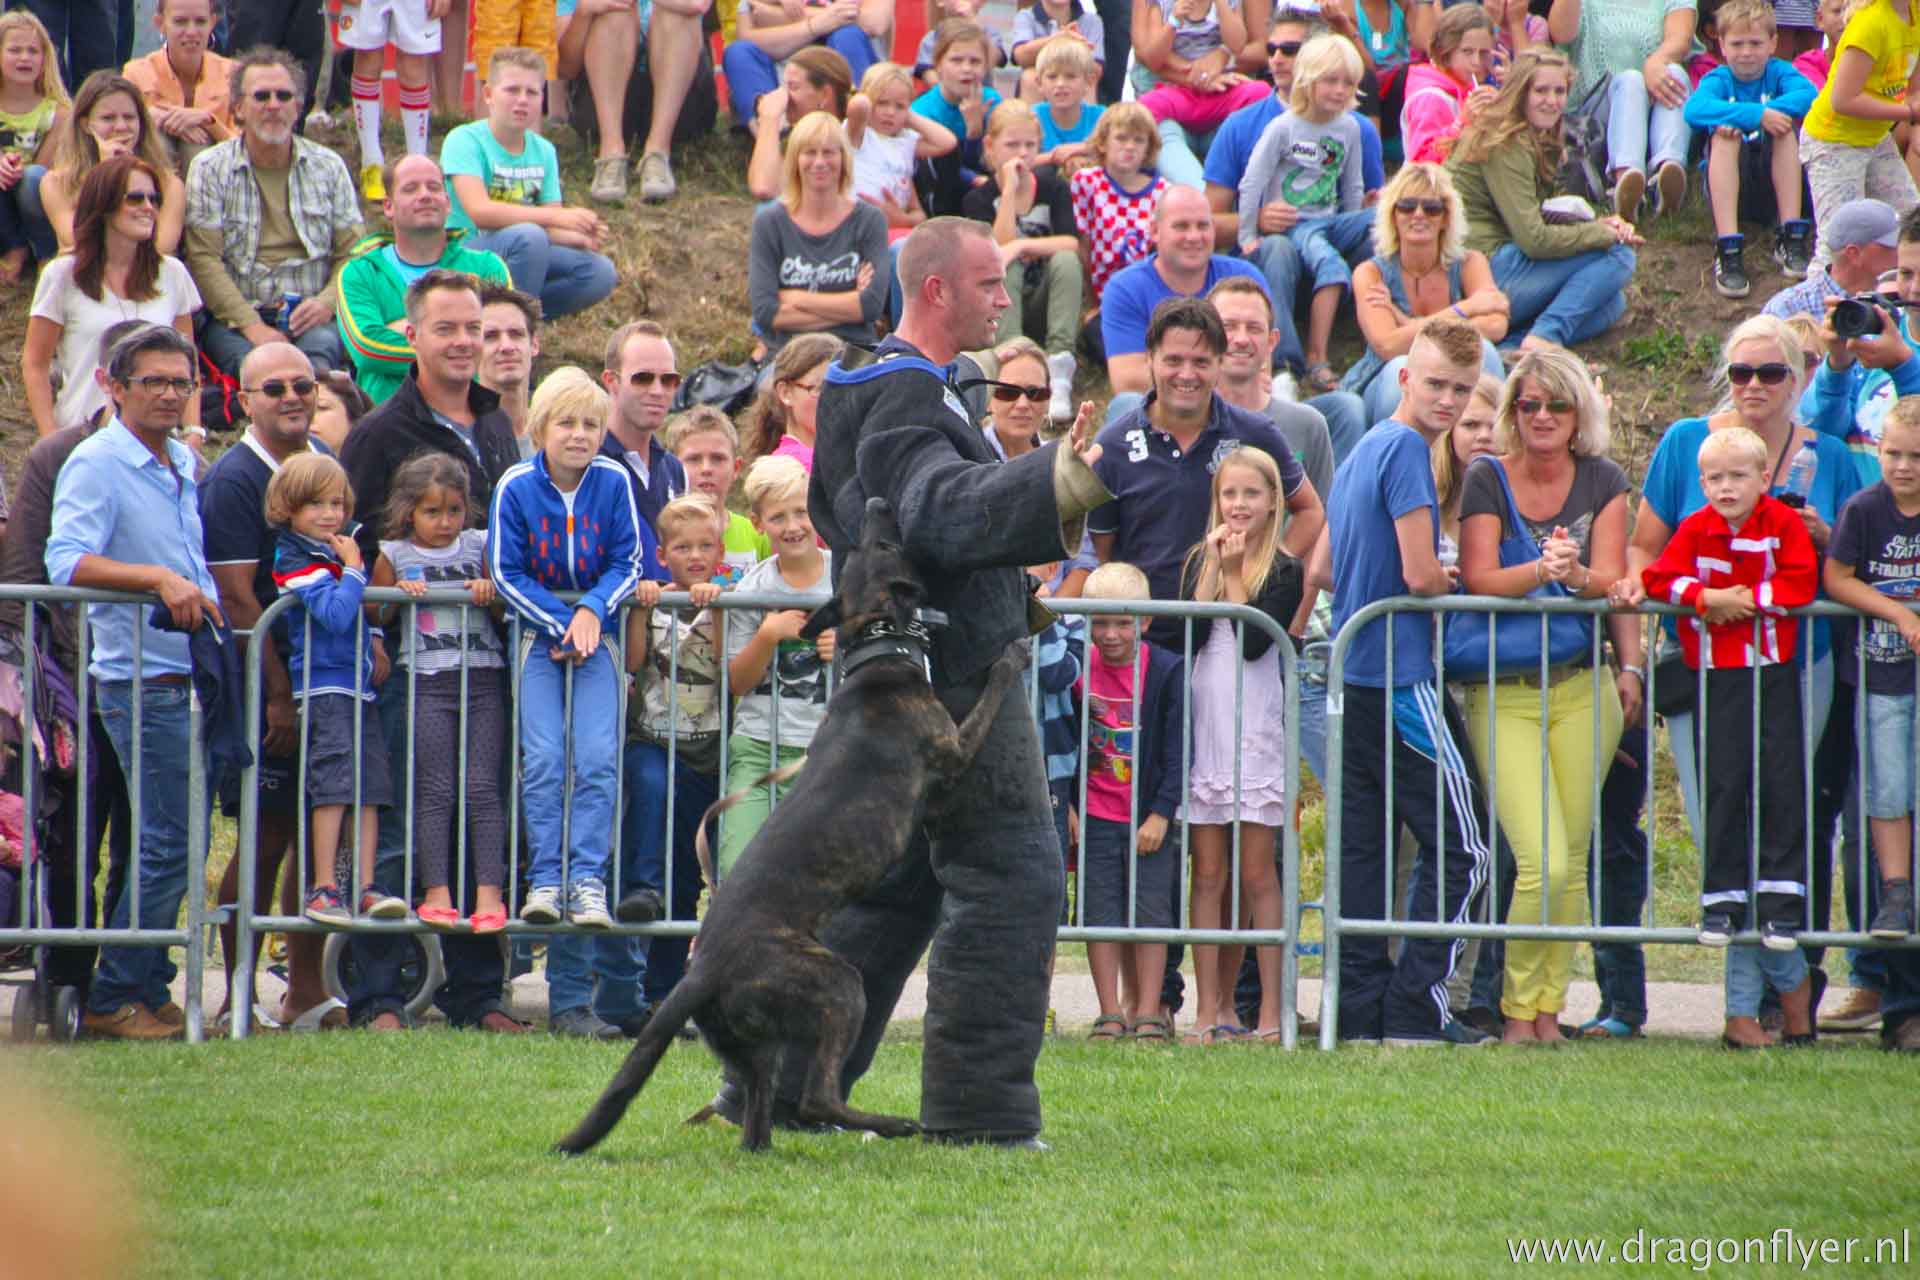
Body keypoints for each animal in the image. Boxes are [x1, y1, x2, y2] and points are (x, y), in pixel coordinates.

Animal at [554, 498, 1028, 1155]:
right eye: (883, 546)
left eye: (864, 547)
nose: (878, 504)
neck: (879, 653)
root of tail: (700, 972)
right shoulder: (953, 748)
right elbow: (988, 699)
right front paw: (1013, 657)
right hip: (835, 985)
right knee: (817, 1095)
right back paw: (890, 1125)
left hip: (754, 1043)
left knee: (757, 1120)